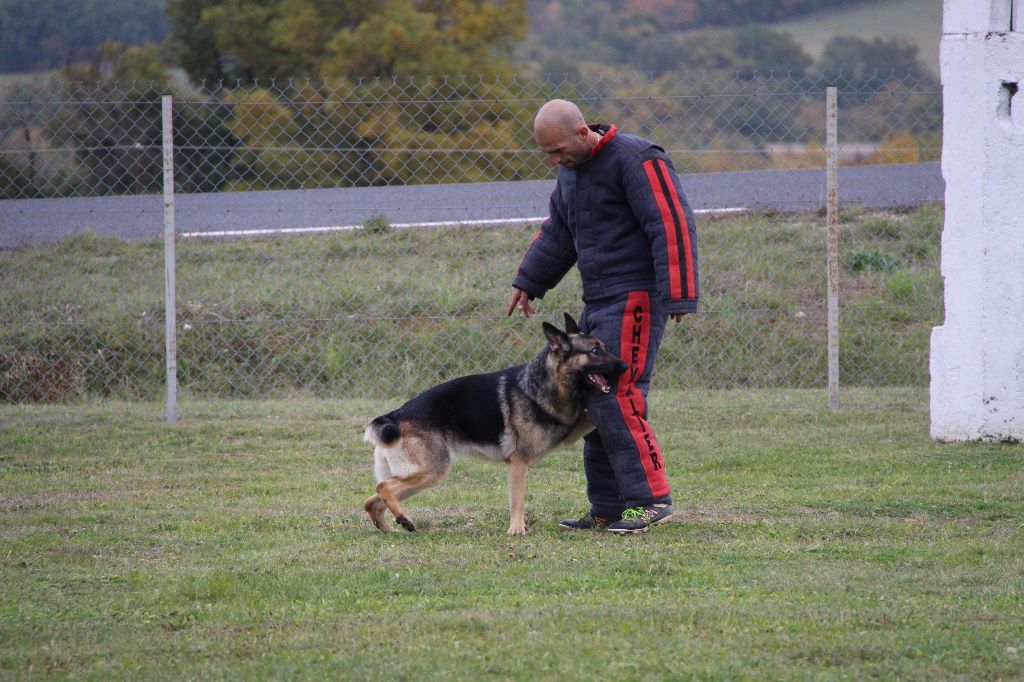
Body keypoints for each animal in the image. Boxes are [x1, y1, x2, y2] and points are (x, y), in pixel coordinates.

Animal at [364, 311, 626, 532]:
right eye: (594, 351)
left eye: (605, 347)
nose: (625, 366)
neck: (542, 384)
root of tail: (394, 416)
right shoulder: (518, 462)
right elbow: (517, 500)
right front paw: (516, 530)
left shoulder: (570, 431)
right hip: (432, 471)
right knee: (383, 488)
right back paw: (403, 519)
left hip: (418, 476)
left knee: (372, 500)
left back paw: (390, 528)